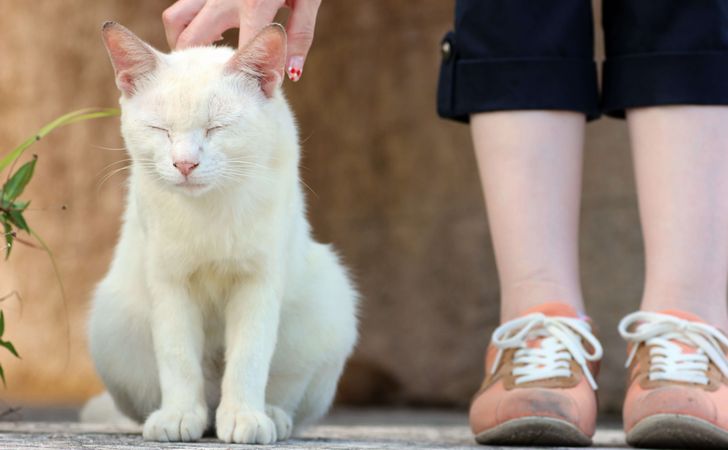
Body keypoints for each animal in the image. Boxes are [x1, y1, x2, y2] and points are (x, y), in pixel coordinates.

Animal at [85, 20, 358, 442]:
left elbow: (249, 358)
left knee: (285, 397)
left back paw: (270, 415)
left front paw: (246, 417)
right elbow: (177, 358)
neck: (209, 210)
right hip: (109, 323)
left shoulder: (258, 282)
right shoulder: (170, 283)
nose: (184, 164)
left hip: (331, 297)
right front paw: (179, 415)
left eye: (216, 129)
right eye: (161, 130)